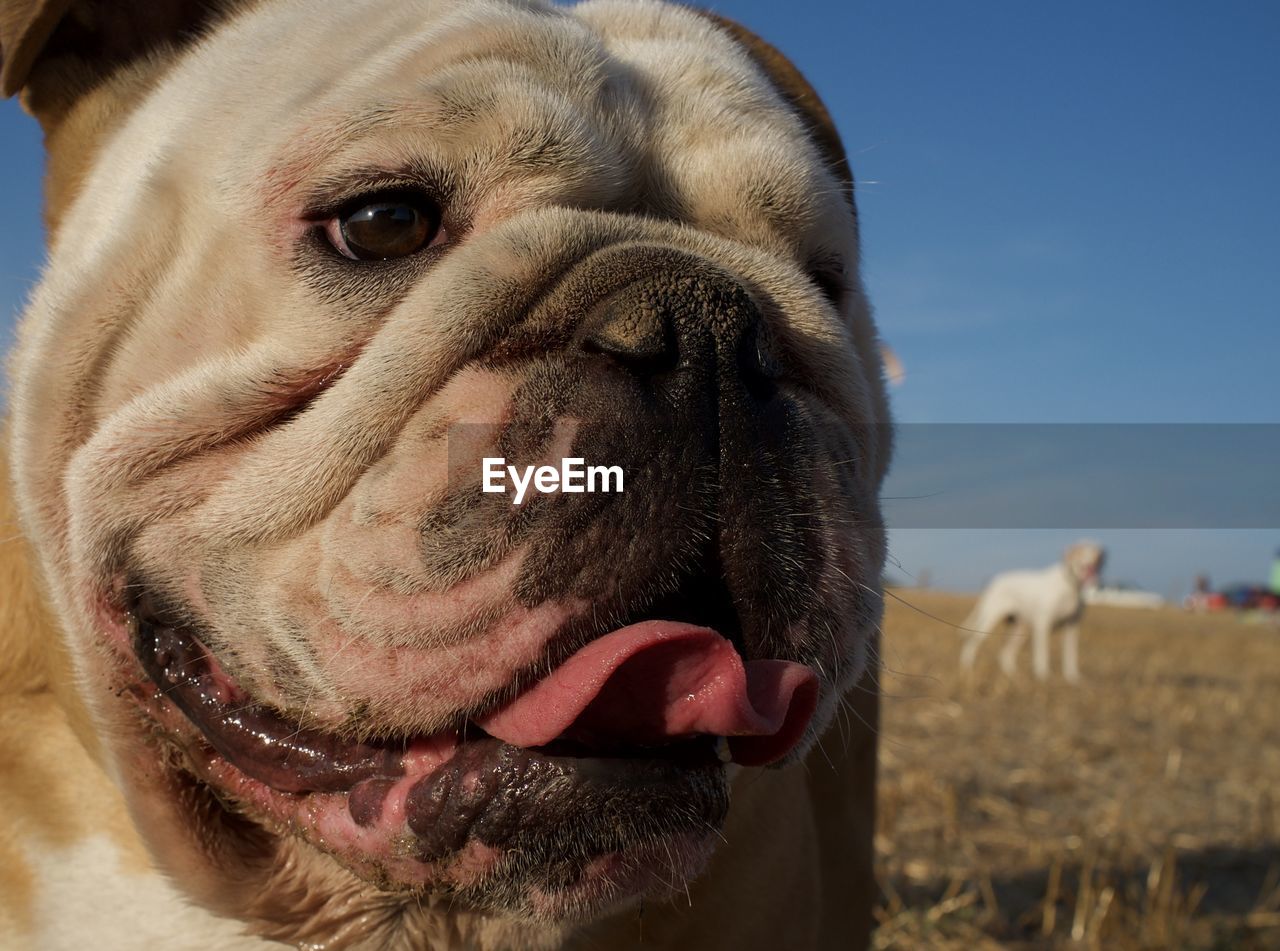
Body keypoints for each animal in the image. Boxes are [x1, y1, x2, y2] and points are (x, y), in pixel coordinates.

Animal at [962, 542, 1100, 686]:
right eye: (1080, 552)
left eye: (1097, 554)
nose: (1093, 562)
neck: (1071, 586)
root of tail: (994, 581)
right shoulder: (1043, 625)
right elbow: (1042, 654)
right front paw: (1043, 677)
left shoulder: (1072, 626)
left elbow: (1070, 656)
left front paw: (1073, 678)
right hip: (989, 619)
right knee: (971, 643)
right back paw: (966, 668)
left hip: (1019, 629)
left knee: (1005, 654)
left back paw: (1015, 677)